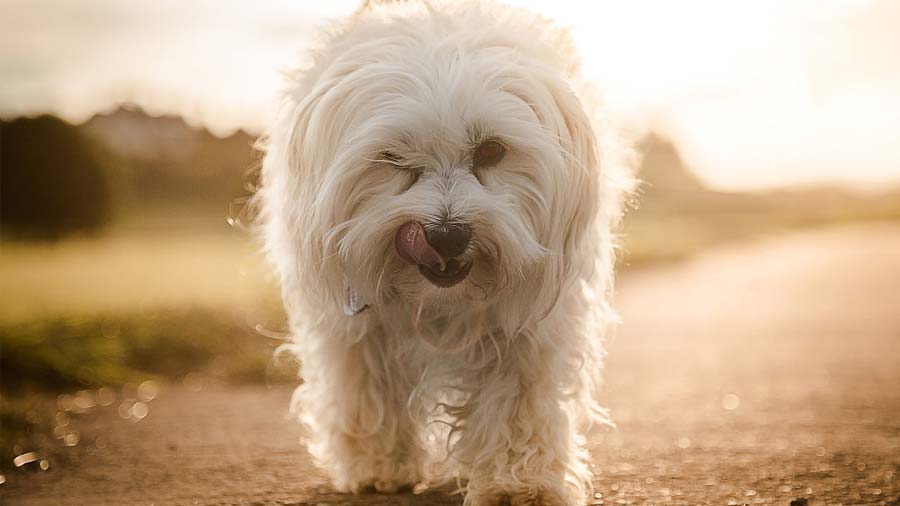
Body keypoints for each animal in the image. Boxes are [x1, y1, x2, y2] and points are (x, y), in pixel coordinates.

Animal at [256, 1, 628, 504]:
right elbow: (370, 389)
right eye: (393, 158)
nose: (447, 235)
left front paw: (518, 482)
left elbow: (519, 397)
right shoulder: (355, 326)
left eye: (491, 149)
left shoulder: (534, 323)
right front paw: (378, 465)